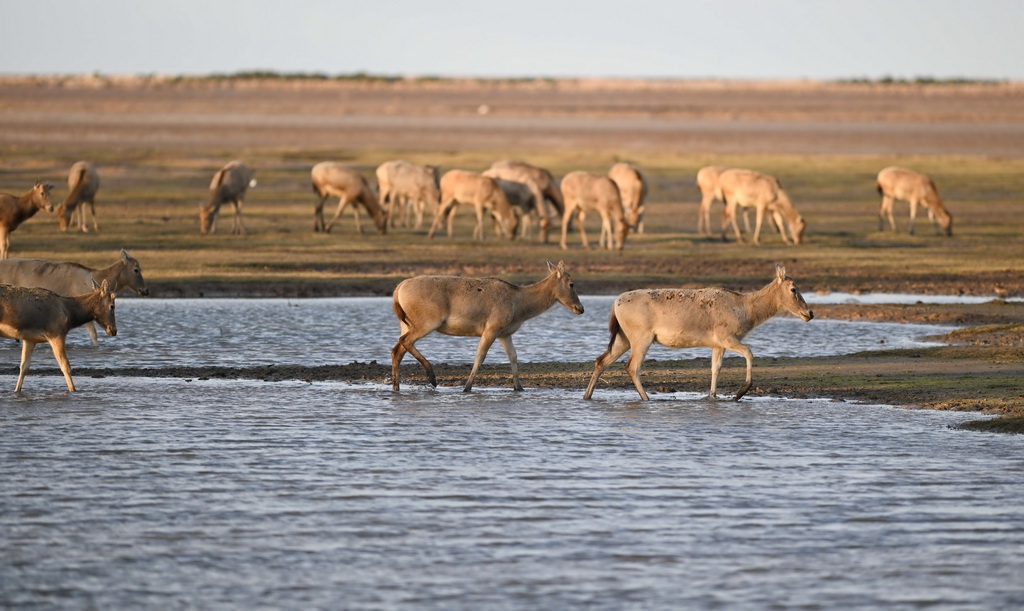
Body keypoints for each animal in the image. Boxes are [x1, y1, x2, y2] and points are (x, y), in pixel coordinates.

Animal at [391, 259, 585, 393]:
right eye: (571, 283)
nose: (580, 308)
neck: (520, 306)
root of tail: (398, 289)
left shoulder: (505, 333)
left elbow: (513, 356)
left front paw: (519, 387)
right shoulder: (491, 328)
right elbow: (480, 357)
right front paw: (466, 387)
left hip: (406, 323)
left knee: (397, 349)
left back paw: (396, 387)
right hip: (428, 322)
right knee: (404, 341)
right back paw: (432, 378)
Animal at [589, 264, 811, 401]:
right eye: (793, 289)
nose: (809, 313)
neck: (744, 310)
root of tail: (615, 304)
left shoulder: (717, 344)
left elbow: (715, 368)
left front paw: (712, 396)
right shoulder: (726, 337)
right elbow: (749, 352)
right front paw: (740, 392)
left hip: (623, 337)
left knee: (601, 360)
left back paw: (587, 396)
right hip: (641, 338)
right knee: (632, 366)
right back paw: (646, 398)